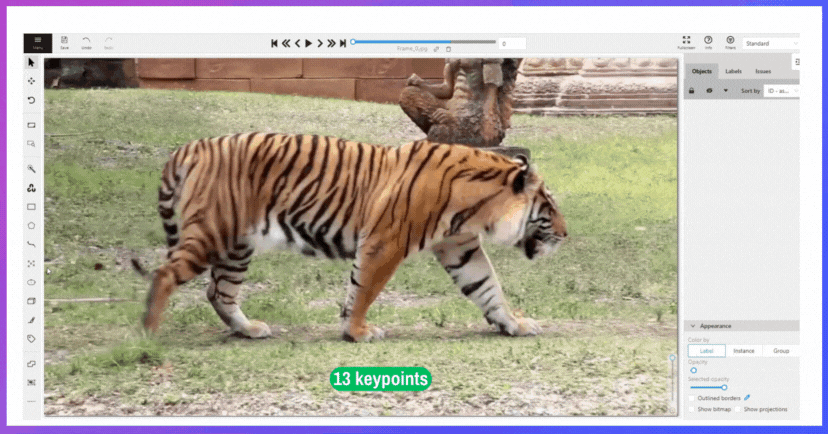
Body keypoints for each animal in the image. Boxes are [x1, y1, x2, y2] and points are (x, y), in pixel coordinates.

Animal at [136, 133, 567, 342]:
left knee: (219, 292)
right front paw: (357, 332)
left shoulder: (459, 248)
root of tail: (194, 145)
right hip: (213, 232)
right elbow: (365, 290)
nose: (566, 234)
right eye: (549, 207)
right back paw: (148, 336)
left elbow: (488, 288)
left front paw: (514, 324)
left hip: (236, 243)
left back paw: (249, 329)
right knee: (165, 274)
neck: (477, 208)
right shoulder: (384, 242)